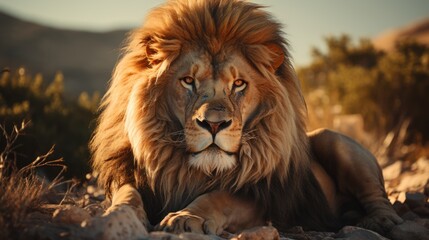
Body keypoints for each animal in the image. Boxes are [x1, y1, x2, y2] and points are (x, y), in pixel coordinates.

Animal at [90, 0, 402, 236]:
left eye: (239, 84)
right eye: (188, 81)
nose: (214, 124)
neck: (193, 170)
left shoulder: (260, 197)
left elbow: (218, 197)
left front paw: (186, 217)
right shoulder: (127, 172)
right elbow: (127, 193)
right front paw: (117, 215)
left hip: (333, 139)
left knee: (378, 197)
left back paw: (380, 221)